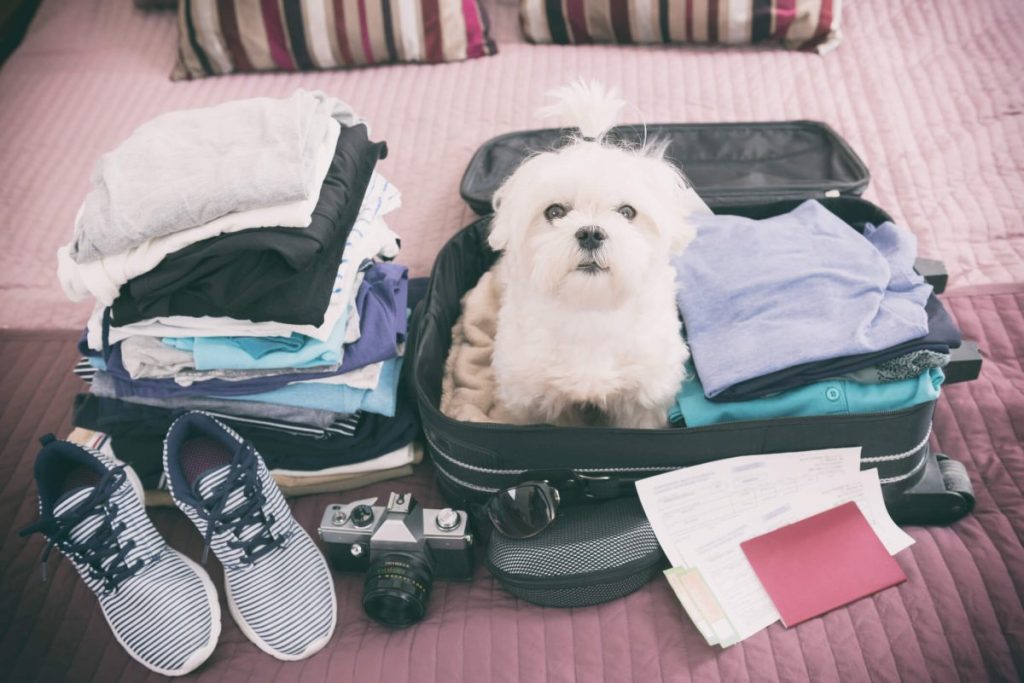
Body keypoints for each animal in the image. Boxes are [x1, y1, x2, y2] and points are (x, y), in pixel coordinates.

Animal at [487, 81, 704, 428]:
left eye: (627, 212)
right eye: (555, 211)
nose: (590, 233)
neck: (590, 310)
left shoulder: (642, 400)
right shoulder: (534, 398)